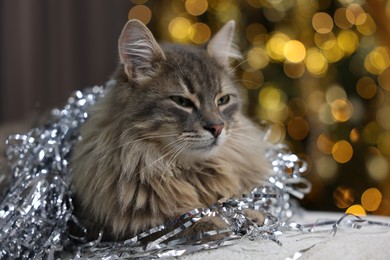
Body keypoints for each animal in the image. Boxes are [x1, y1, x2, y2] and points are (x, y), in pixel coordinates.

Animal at [70, 19, 272, 241]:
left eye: (223, 100)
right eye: (182, 102)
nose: (217, 127)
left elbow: (234, 202)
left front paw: (249, 215)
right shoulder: (101, 228)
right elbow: (176, 223)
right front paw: (215, 223)